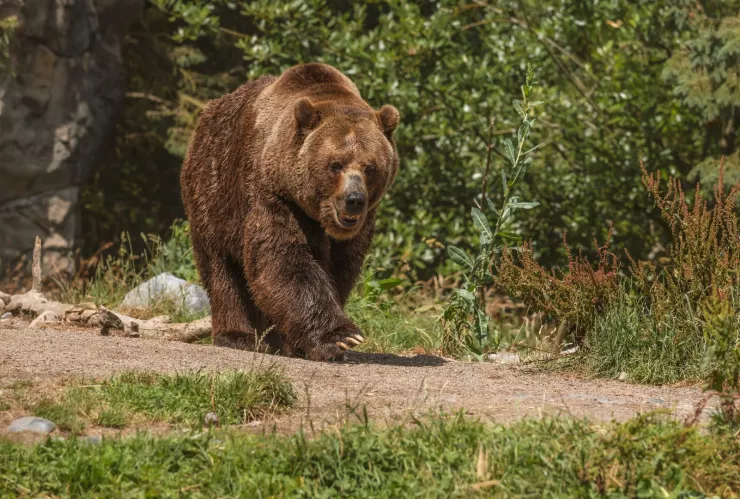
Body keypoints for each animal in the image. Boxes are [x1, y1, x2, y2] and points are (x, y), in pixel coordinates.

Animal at [180, 63, 400, 361]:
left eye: (370, 167)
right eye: (335, 164)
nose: (354, 200)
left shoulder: (357, 229)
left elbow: (341, 269)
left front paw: (306, 342)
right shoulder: (274, 195)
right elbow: (284, 259)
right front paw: (340, 337)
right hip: (212, 193)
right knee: (221, 268)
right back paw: (237, 336)